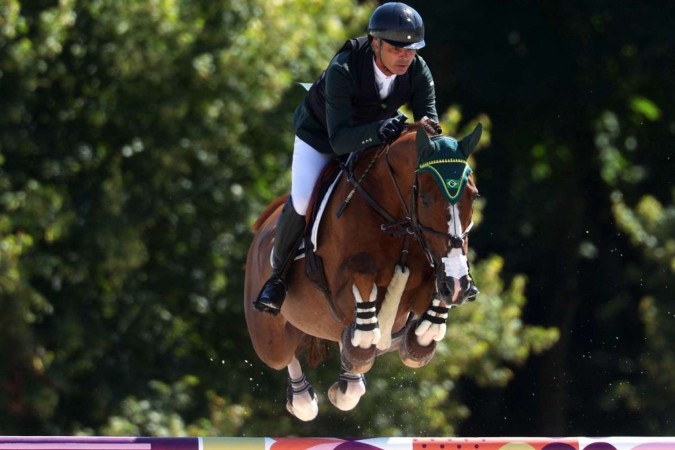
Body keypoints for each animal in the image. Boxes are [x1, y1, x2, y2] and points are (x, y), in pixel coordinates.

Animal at [246, 120, 484, 422]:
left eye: (473, 196)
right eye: (425, 198)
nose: (458, 284)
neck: (396, 221)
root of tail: (264, 229)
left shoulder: (429, 277)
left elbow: (428, 318)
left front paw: (422, 333)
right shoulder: (340, 290)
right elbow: (363, 295)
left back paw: (350, 378)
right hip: (269, 341)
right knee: (286, 355)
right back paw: (304, 399)